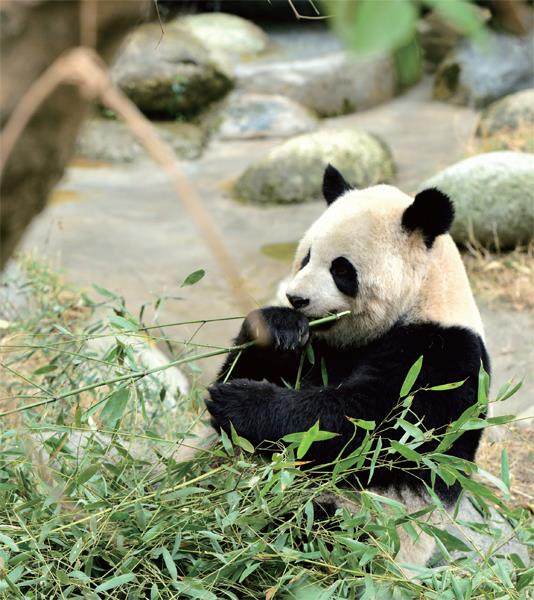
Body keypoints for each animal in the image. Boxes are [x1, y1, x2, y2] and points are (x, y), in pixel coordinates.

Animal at [205, 164, 490, 569]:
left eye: (341, 269)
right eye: (306, 257)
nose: (296, 298)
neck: (423, 296)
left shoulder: (442, 358)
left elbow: (371, 427)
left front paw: (239, 402)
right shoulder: (320, 347)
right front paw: (279, 327)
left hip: (359, 525)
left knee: (302, 530)